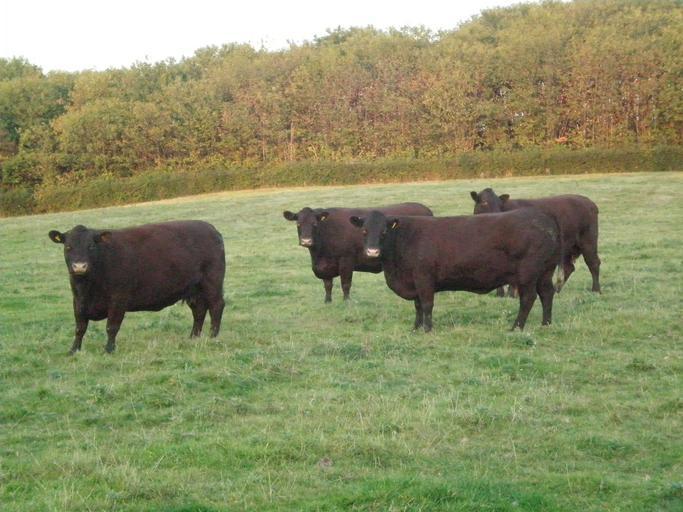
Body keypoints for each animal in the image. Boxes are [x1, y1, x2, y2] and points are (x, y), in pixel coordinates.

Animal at [48, 221, 226, 354]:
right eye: (68, 247)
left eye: (91, 246)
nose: (79, 266)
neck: (87, 287)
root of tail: (210, 228)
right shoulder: (78, 302)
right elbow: (80, 328)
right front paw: (73, 350)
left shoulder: (118, 299)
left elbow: (111, 327)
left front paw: (109, 349)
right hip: (194, 289)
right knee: (199, 310)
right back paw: (193, 337)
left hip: (212, 282)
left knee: (216, 306)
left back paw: (213, 336)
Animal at [283, 203, 433, 302]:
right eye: (298, 224)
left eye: (314, 224)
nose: (306, 241)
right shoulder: (325, 266)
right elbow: (327, 285)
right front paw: (327, 301)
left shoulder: (346, 260)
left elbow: (345, 283)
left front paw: (346, 302)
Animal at [349, 209, 564, 331]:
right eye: (364, 231)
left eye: (384, 231)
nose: (372, 251)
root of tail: (543, 217)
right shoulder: (414, 281)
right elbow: (418, 306)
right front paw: (416, 328)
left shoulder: (424, 277)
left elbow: (426, 304)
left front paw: (427, 329)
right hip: (545, 271)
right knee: (547, 293)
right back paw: (546, 324)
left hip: (528, 273)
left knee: (528, 298)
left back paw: (516, 327)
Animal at [470, 188, 601, 293]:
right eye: (484, 202)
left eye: (499, 204)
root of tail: (588, 201)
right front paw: (501, 294)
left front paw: (511, 294)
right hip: (567, 247)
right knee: (569, 267)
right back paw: (556, 289)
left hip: (588, 240)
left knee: (593, 263)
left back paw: (596, 290)